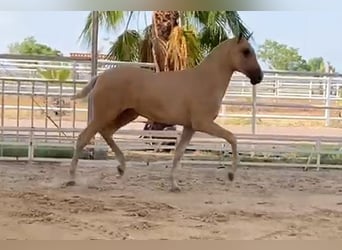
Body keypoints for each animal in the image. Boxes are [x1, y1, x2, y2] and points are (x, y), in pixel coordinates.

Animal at [69, 34, 262, 192]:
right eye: (246, 51)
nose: (259, 77)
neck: (205, 81)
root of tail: (99, 77)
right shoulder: (203, 123)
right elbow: (232, 138)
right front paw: (231, 175)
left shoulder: (190, 127)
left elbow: (178, 153)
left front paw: (174, 185)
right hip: (105, 115)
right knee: (83, 138)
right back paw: (72, 179)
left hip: (126, 114)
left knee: (106, 133)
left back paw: (121, 169)